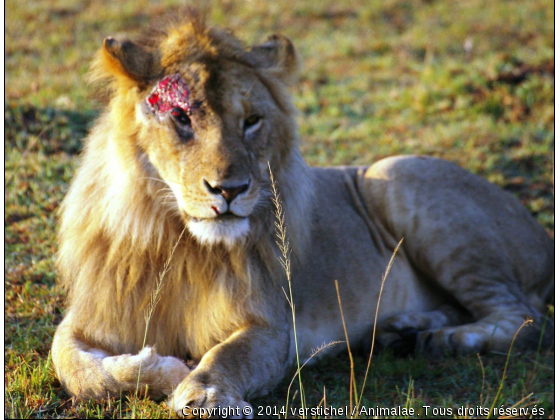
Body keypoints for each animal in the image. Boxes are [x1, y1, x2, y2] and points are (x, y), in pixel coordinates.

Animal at [52, 11, 552, 418]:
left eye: (251, 121)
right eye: (180, 117)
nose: (230, 190)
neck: (176, 242)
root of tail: (542, 232)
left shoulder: (275, 325)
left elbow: (226, 357)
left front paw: (204, 394)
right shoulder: (93, 312)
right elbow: (75, 368)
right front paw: (162, 367)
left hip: (398, 176)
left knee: (525, 318)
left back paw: (439, 340)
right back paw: (402, 330)